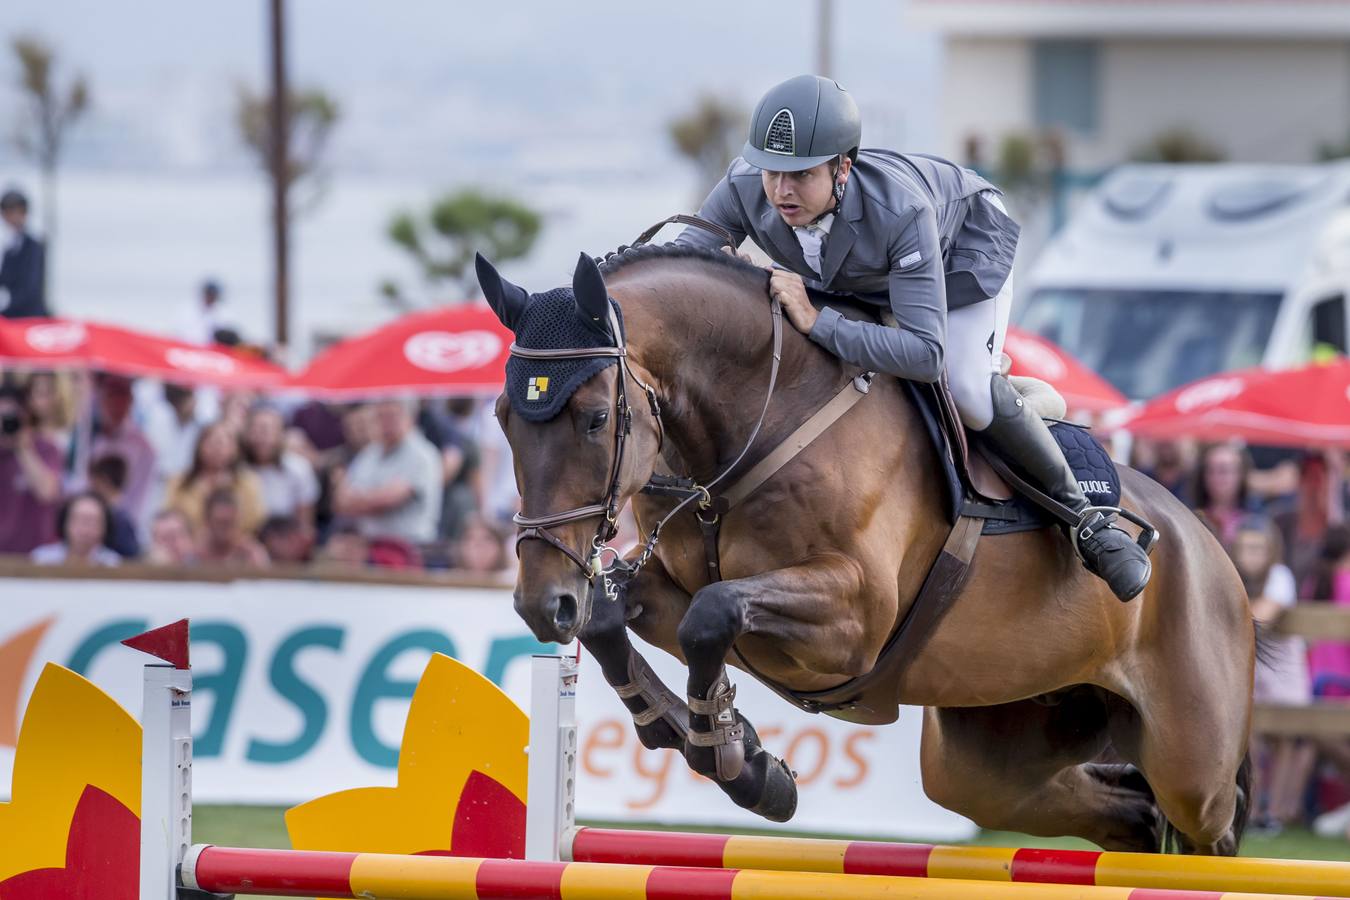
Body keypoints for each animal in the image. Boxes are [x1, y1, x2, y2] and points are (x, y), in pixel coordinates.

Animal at [480, 242, 1258, 858]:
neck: (760, 417)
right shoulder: (667, 581)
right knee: (1121, 811)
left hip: (1191, 760)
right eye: (502, 417)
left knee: (1210, 820)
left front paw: (740, 762)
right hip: (993, 754)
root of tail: (1214, 554)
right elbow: (616, 619)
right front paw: (734, 751)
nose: (540, 604)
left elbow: (713, 614)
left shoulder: (854, 619)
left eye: (595, 419)